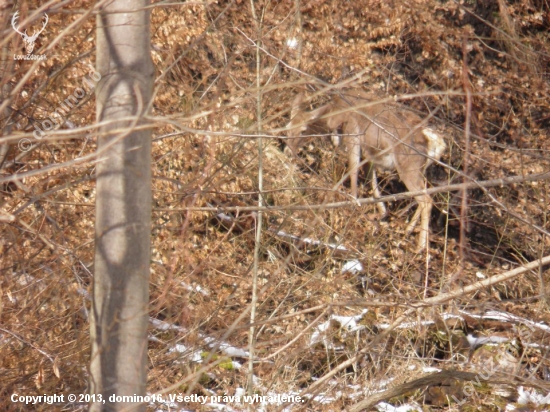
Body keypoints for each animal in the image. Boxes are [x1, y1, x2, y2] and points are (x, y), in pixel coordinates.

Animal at [286, 90, 446, 251]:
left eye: (303, 130)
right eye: (287, 126)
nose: (288, 150)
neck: (335, 114)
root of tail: (437, 144)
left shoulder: (353, 133)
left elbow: (354, 168)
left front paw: (353, 201)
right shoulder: (370, 153)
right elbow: (371, 177)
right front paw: (381, 211)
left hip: (408, 167)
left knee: (426, 200)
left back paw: (420, 247)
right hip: (421, 170)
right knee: (428, 192)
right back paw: (408, 230)